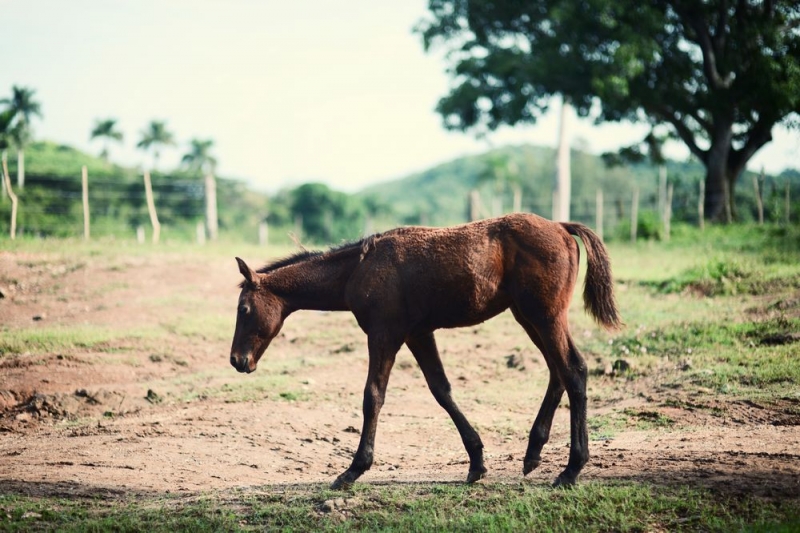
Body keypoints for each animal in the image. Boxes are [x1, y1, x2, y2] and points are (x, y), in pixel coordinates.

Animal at [230, 212, 620, 486]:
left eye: (244, 309)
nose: (237, 361)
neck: (359, 268)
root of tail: (561, 226)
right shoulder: (418, 334)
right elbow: (441, 390)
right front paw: (477, 464)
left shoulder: (384, 334)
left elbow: (373, 396)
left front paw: (352, 471)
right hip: (528, 317)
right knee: (558, 372)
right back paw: (533, 454)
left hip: (545, 316)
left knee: (574, 370)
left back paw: (570, 470)